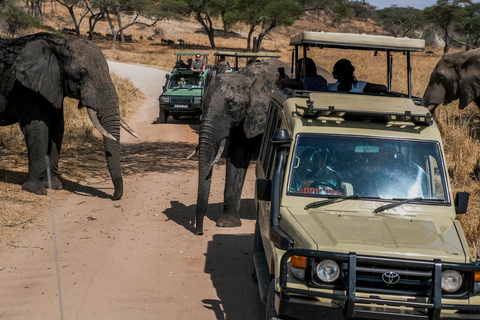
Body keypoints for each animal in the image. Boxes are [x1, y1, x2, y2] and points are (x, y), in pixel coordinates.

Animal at [0, 31, 138, 198]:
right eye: (82, 74)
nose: (114, 196)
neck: (58, 44)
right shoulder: (23, 86)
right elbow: (37, 129)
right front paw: (35, 190)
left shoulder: (53, 85)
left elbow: (57, 128)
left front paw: (54, 186)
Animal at [195, 58, 288, 235]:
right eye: (202, 104)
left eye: (231, 106)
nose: (199, 232)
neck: (246, 77)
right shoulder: (244, 119)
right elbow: (238, 157)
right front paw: (227, 224)